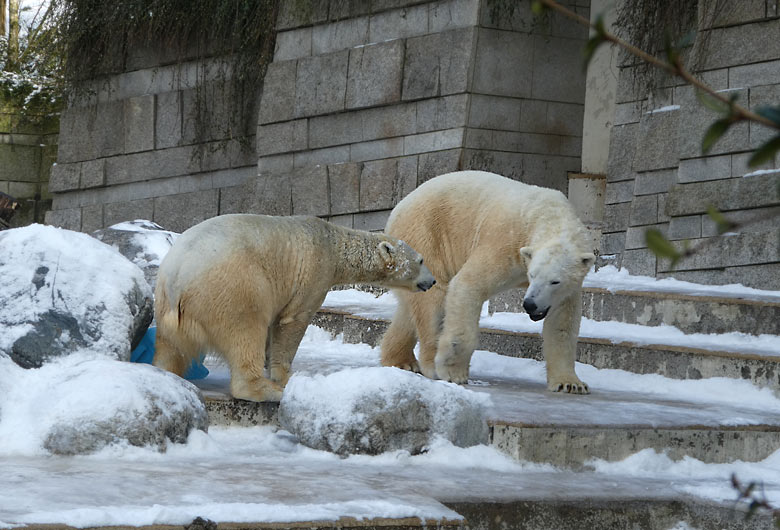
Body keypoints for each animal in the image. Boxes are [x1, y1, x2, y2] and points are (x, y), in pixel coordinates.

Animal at [152, 211, 432, 400]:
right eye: (421, 260)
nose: (432, 281)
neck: (332, 241)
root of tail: (177, 278)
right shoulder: (314, 272)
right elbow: (292, 321)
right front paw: (285, 377)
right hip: (231, 288)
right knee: (245, 331)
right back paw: (267, 390)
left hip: (166, 309)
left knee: (170, 349)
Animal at [380, 169, 596, 392]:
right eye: (532, 275)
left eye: (555, 281)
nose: (530, 304)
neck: (547, 214)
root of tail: (398, 208)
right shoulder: (505, 243)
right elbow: (467, 285)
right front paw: (453, 371)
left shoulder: (566, 287)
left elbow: (562, 321)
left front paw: (570, 384)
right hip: (425, 235)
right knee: (434, 299)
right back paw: (431, 364)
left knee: (409, 309)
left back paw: (401, 361)